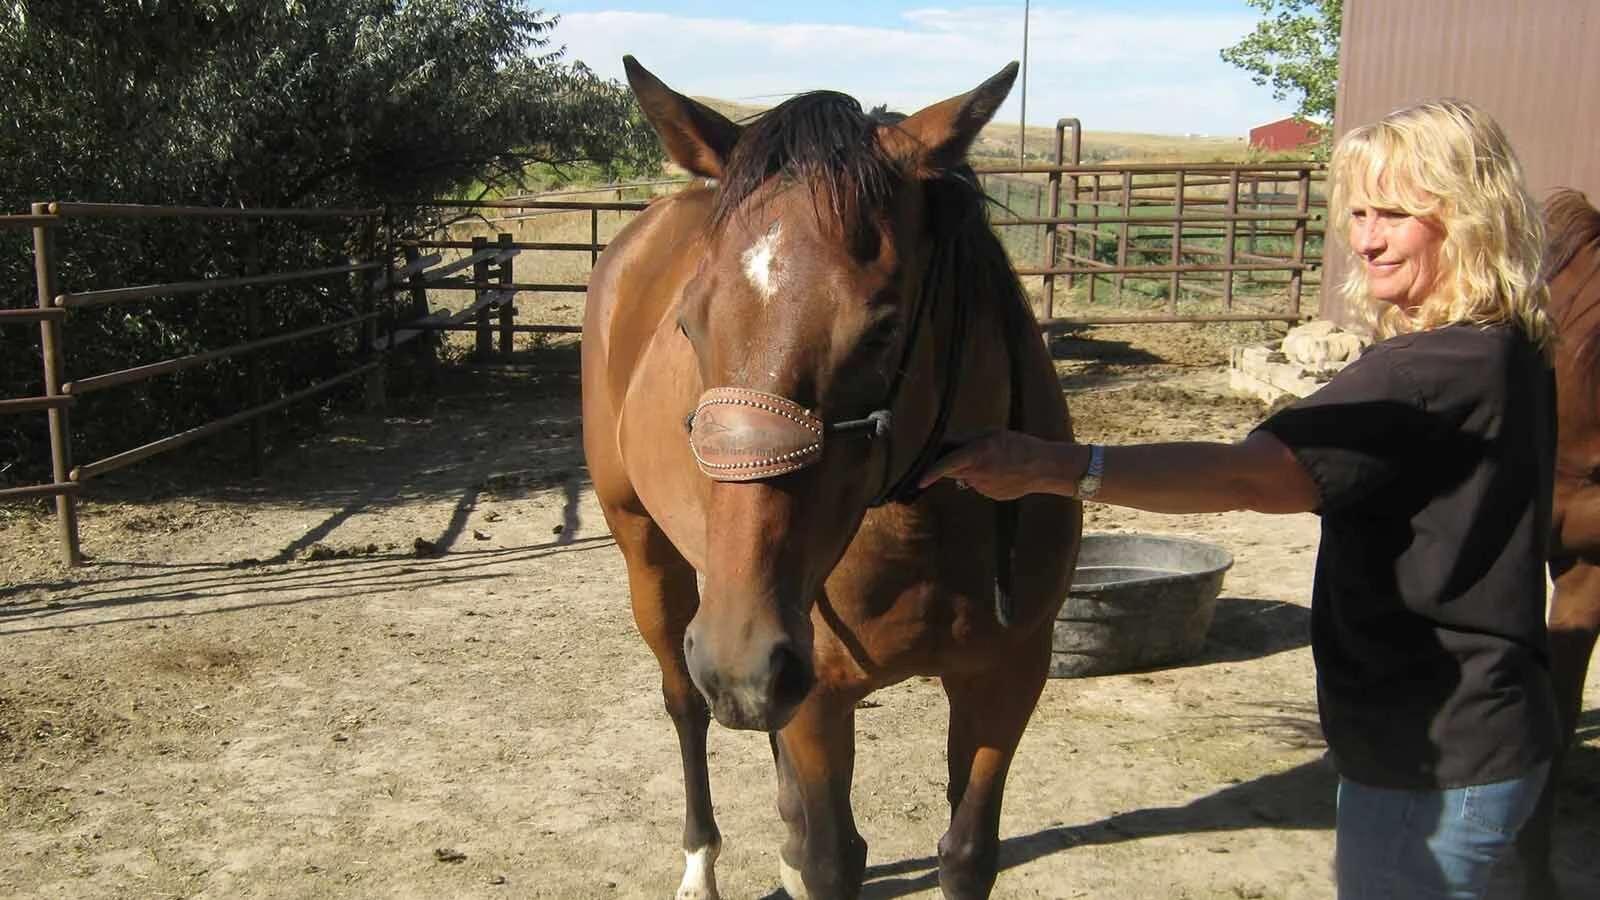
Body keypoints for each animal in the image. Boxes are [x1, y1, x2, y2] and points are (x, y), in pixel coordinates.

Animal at [580, 57, 1081, 900]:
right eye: (690, 324)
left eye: (881, 331)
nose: (739, 662)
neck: (924, 529)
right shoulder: (815, 693)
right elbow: (835, 858)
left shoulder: (1007, 679)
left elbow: (967, 852)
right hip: (655, 560)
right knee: (684, 704)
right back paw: (699, 863)